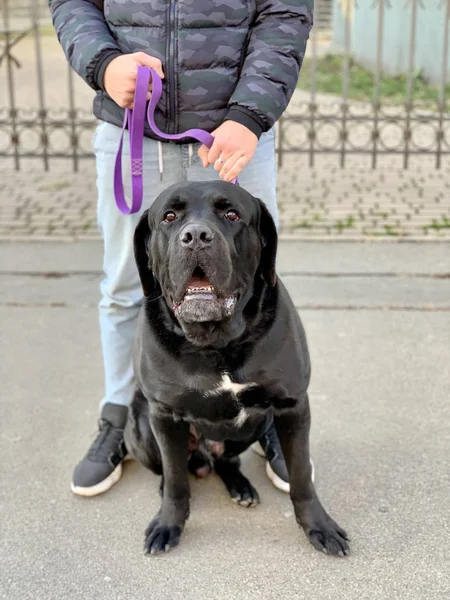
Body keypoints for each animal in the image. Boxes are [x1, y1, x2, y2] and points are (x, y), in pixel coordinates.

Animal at [125, 180, 350, 556]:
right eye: (169, 216)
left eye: (231, 214)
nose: (196, 236)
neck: (217, 343)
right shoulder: (163, 414)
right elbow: (176, 481)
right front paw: (168, 524)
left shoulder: (292, 405)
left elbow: (301, 475)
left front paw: (319, 526)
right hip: (141, 429)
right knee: (174, 469)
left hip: (256, 423)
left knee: (224, 460)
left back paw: (241, 487)